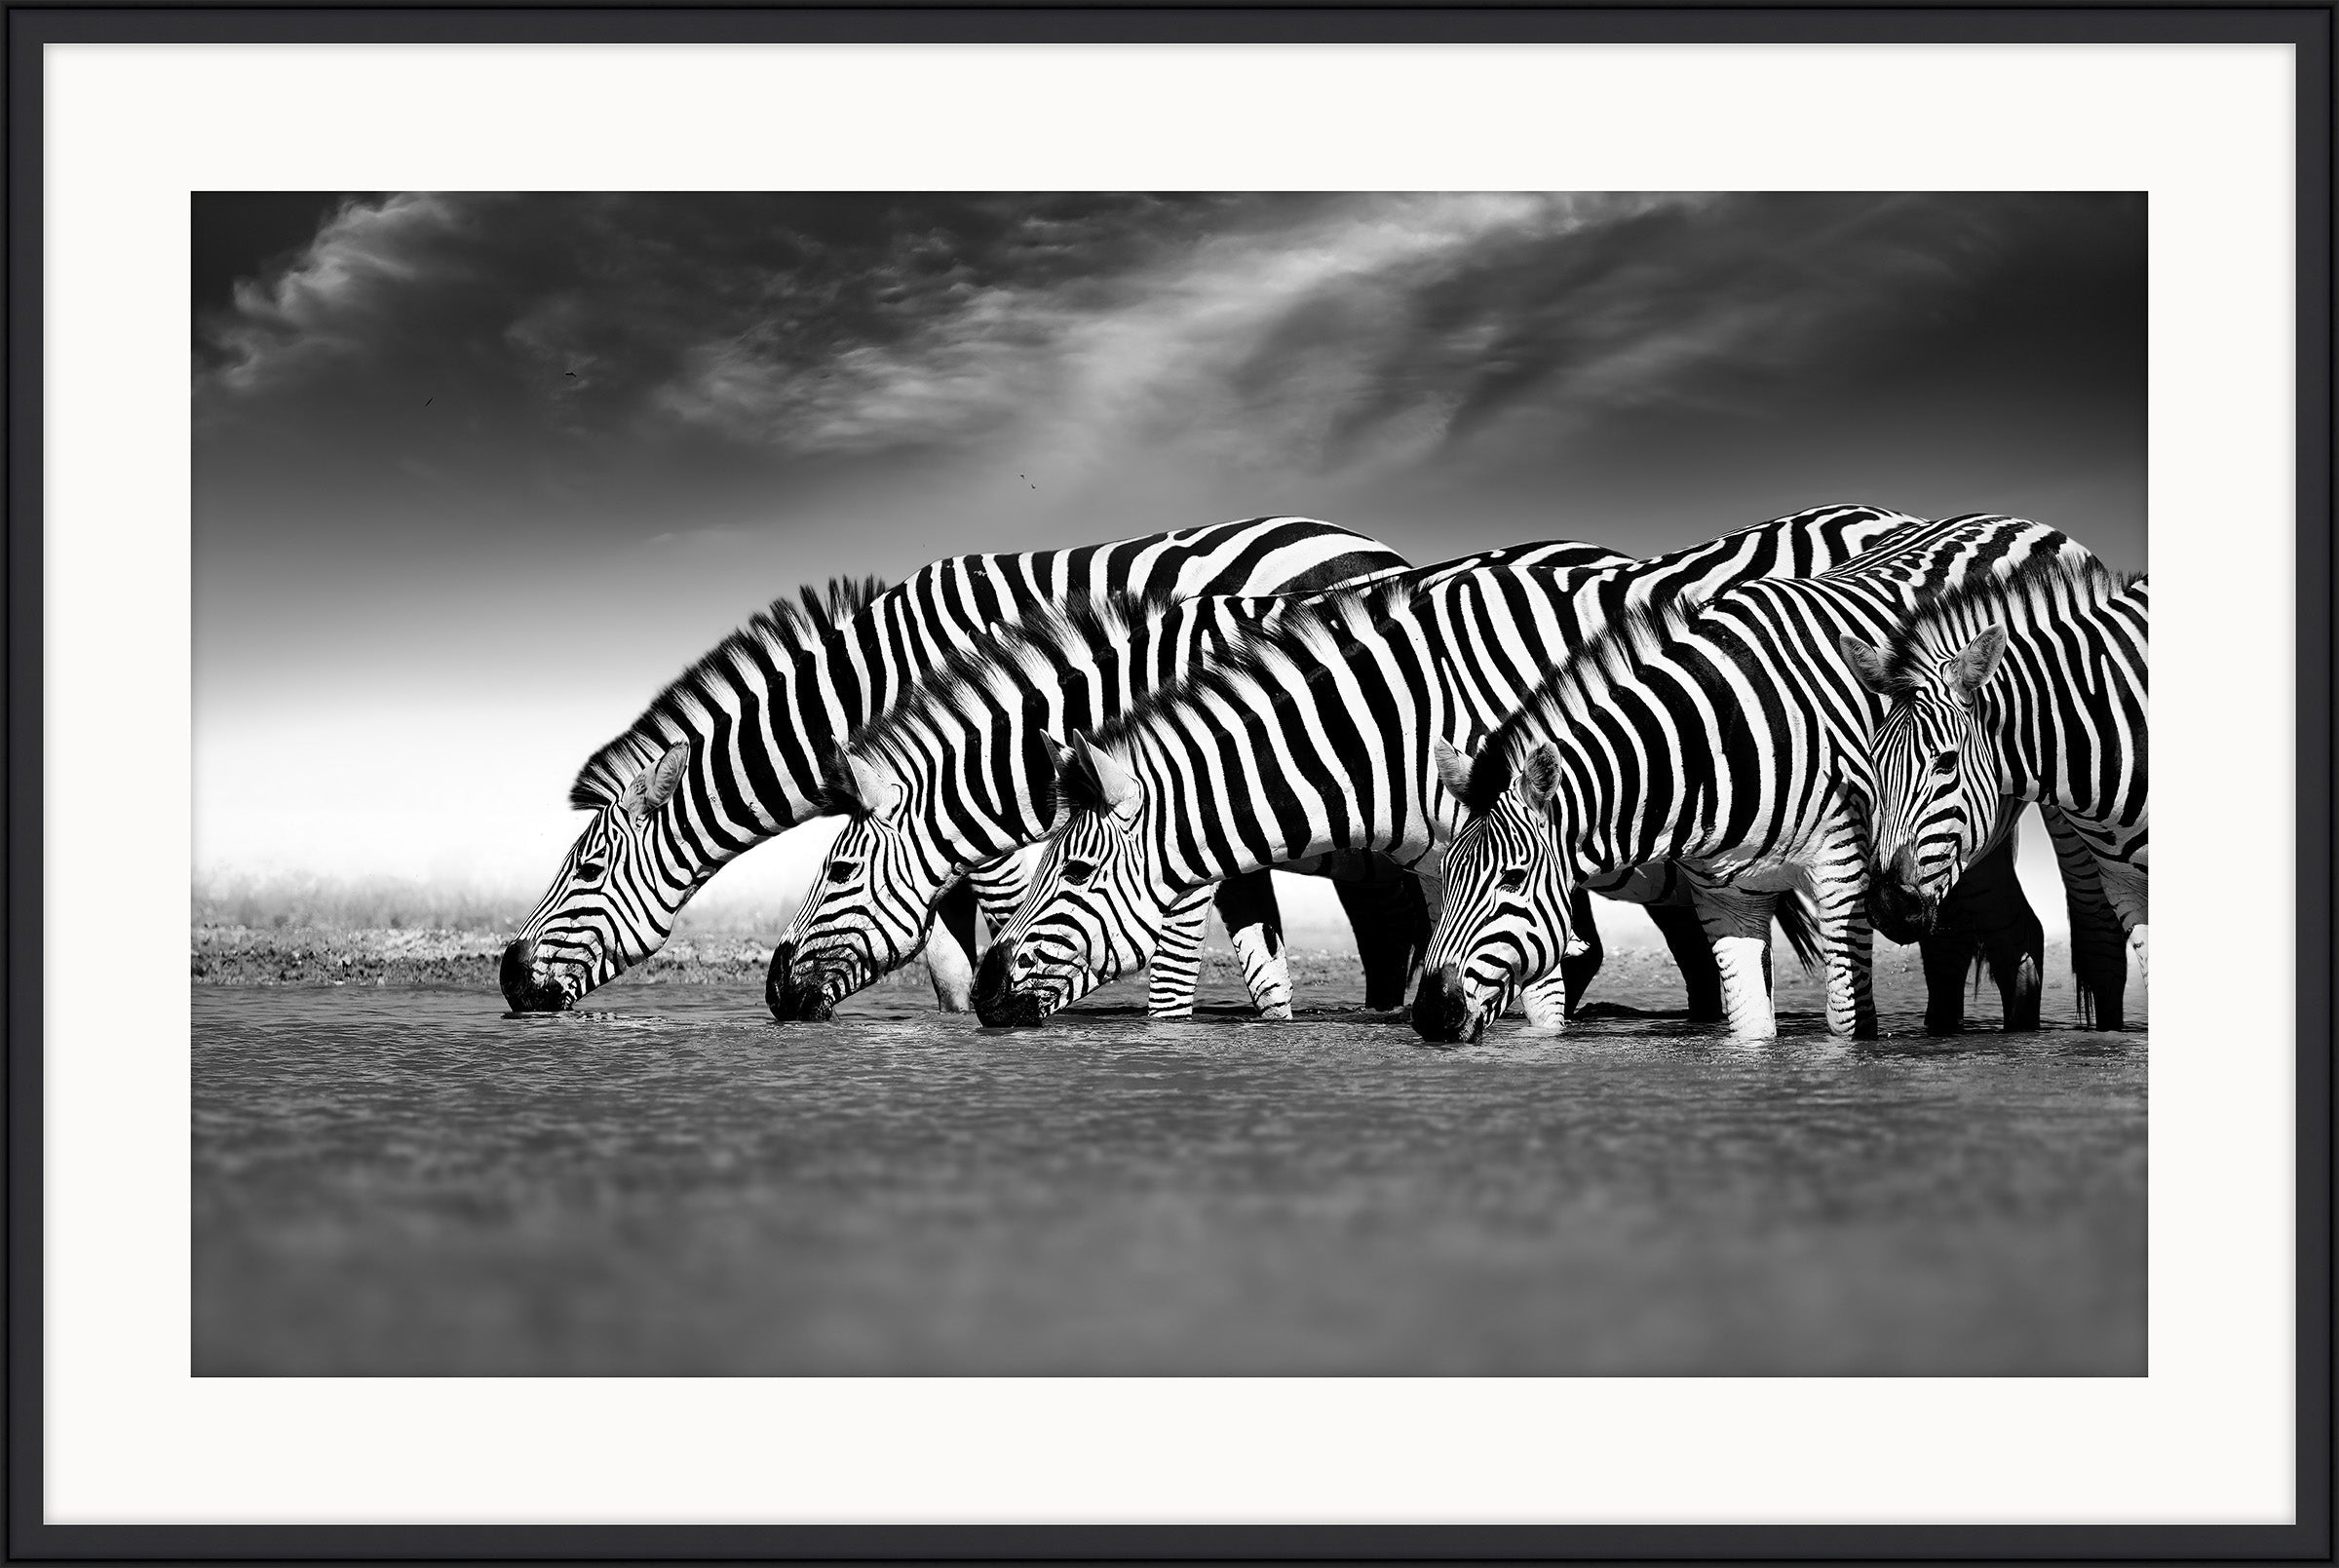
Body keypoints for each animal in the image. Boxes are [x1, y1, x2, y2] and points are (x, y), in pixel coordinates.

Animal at [497, 518, 1411, 1014]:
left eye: (585, 868)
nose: (506, 978)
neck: (870, 686)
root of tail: (1375, 546)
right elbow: (939, 956)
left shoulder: (978, 806)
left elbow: (994, 924)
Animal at [1411, 516, 2101, 1044]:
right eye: (1443, 873)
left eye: (1512, 879)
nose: (1427, 1016)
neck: (1710, 749)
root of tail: (2019, 519)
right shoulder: (1727, 902)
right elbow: (1747, 1032)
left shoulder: (1845, 877)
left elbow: (1850, 1029)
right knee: (1998, 935)